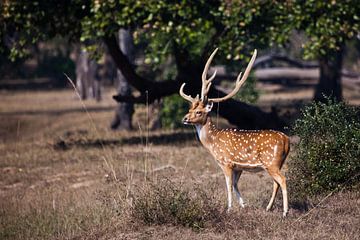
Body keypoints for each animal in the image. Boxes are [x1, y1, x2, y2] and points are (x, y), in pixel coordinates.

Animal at [179, 47, 290, 217]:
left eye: (198, 112)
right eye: (189, 109)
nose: (185, 118)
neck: (213, 143)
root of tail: (286, 140)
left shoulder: (226, 163)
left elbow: (229, 185)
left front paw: (229, 208)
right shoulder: (238, 167)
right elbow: (236, 185)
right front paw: (243, 205)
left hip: (271, 162)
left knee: (282, 180)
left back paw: (285, 212)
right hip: (276, 163)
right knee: (275, 183)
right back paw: (268, 207)